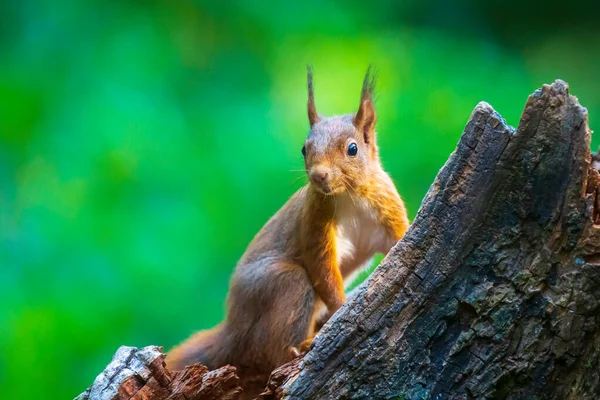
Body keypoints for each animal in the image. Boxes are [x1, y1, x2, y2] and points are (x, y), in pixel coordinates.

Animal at [166, 67, 410, 396]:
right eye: (304, 149)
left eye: (353, 149)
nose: (319, 175)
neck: (350, 195)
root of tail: (234, 326)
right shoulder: (315, 220)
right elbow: (322, 270)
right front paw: (342, 309)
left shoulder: (387, 210)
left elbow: (400, 239)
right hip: (282, 284)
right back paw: (301, 348)